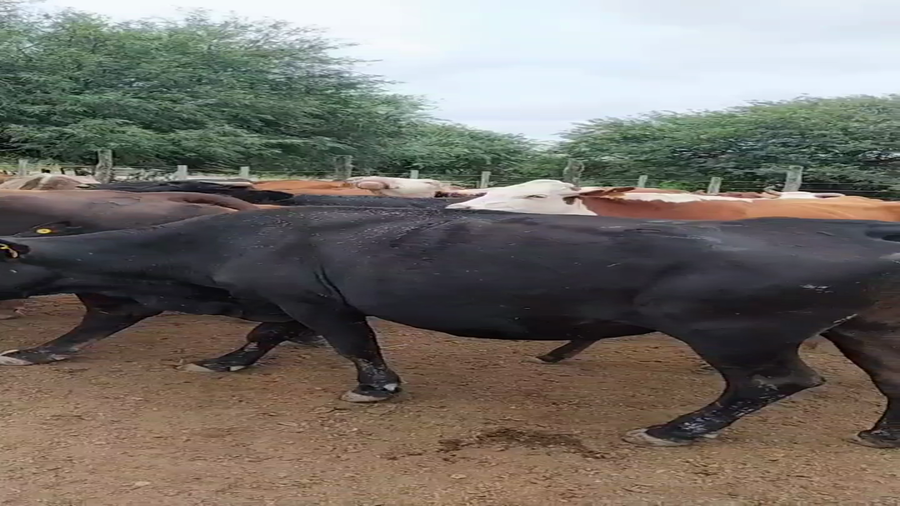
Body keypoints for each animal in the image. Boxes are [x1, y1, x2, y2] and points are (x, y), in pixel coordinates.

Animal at [0, 207, 898, 449]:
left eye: (5, 260)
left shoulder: (317, 300)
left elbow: (358, 349)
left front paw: (377, 391)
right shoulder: (283, 303)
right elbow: (260, 339)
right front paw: (222, 363)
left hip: (726, 330)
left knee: (778, 379)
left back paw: (678, 428)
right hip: (868, 327)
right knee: (888, 379)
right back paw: (881, 435)